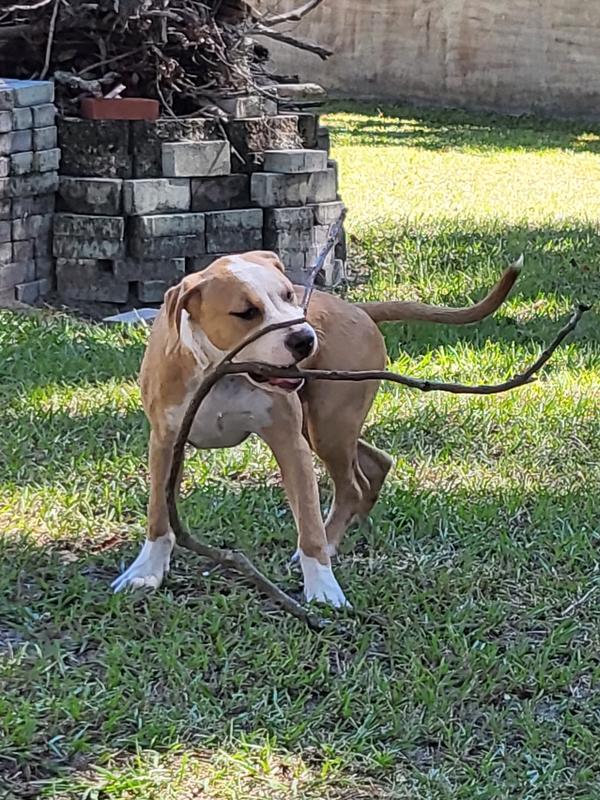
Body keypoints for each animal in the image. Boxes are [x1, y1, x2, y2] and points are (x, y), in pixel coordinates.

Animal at [112, 250, 520, 608]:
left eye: (289, 296)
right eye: (246, 313)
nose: (304, 338)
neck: (226, 376)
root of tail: (358, 308)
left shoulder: (290, 444)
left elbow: (309, 526)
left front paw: (322, 588)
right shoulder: (165, 442)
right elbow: (158, 515)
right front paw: (145, 572)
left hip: (328, 426)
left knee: (351, 486)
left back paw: (334, 538)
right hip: (329, 426)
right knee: (375, 463)